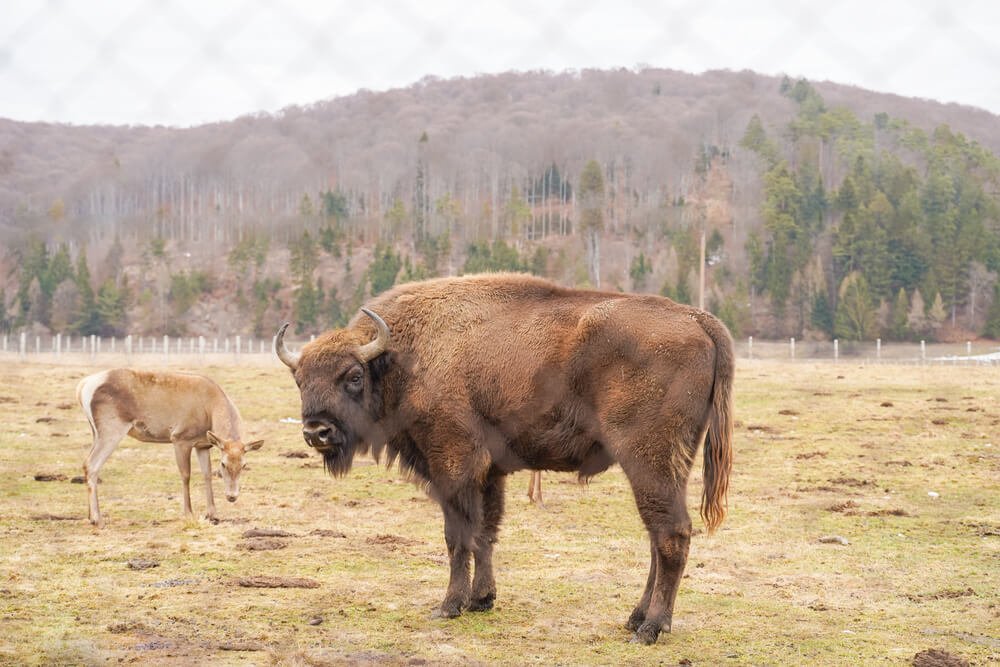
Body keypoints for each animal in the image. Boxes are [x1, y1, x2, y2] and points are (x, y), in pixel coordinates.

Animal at [76, 368, 263, 526]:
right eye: (223, 464)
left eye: (244, 465)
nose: (232, 496)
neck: (210, 410)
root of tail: (83, 387)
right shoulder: (180, 438)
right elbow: (186, 475)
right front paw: (189, 514)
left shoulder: (203, 445)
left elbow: (207, 474)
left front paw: (213, 515)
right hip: (112, 427)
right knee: (91, 464)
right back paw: (97, 519)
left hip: (96, 431)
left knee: (86, 463)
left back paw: (90, 515)